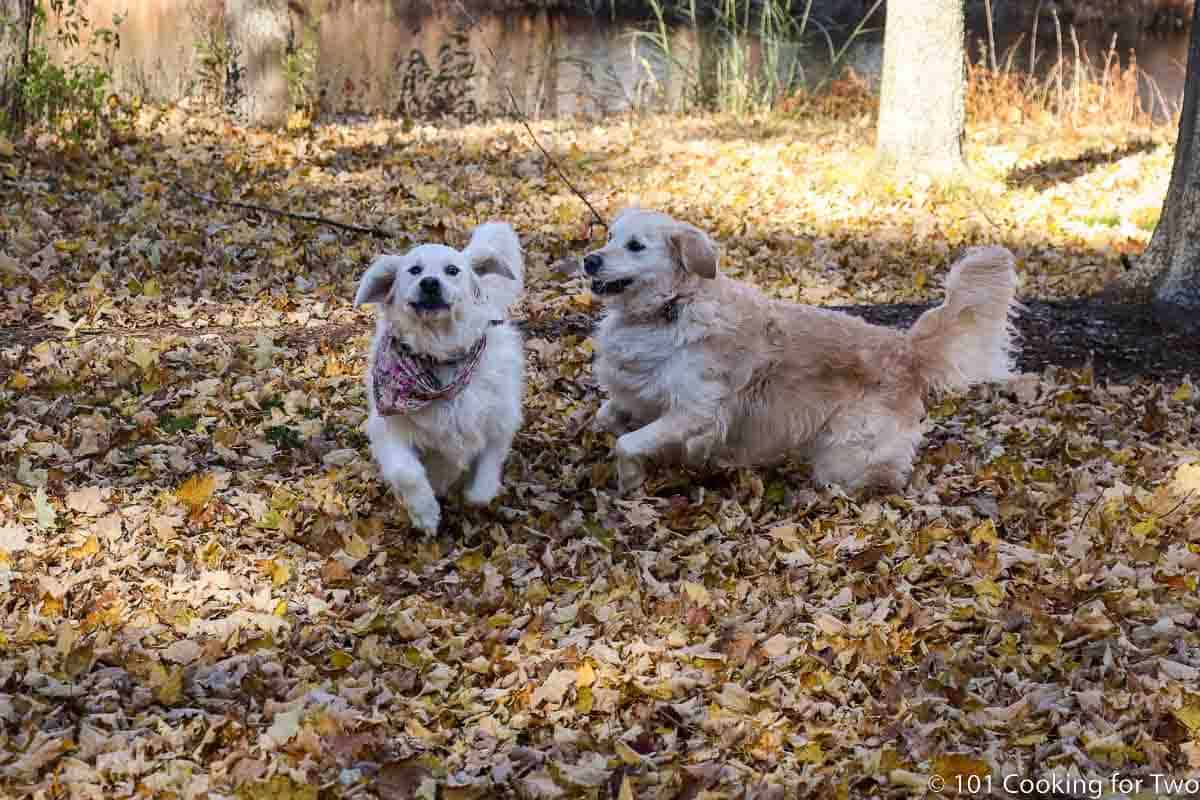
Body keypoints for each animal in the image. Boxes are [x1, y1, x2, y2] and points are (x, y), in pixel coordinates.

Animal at [352, 221, 528, 534]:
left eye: (452, 270)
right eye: (414, 270)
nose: (430, 283)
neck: (441, 356)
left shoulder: (500, 421)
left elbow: (485, 479)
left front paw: (471, 490)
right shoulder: (389, 427)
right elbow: (408, 473)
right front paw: (426, 512)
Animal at [585, 208, 1017, 494]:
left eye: (636, 246)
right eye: (609, 236)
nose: (589, 260)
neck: (669, 309)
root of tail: (904, 346)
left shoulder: (696, 412)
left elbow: (627, 444)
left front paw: (630, 481)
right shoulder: (642, 395)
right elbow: (606, 418)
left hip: (850, 452)